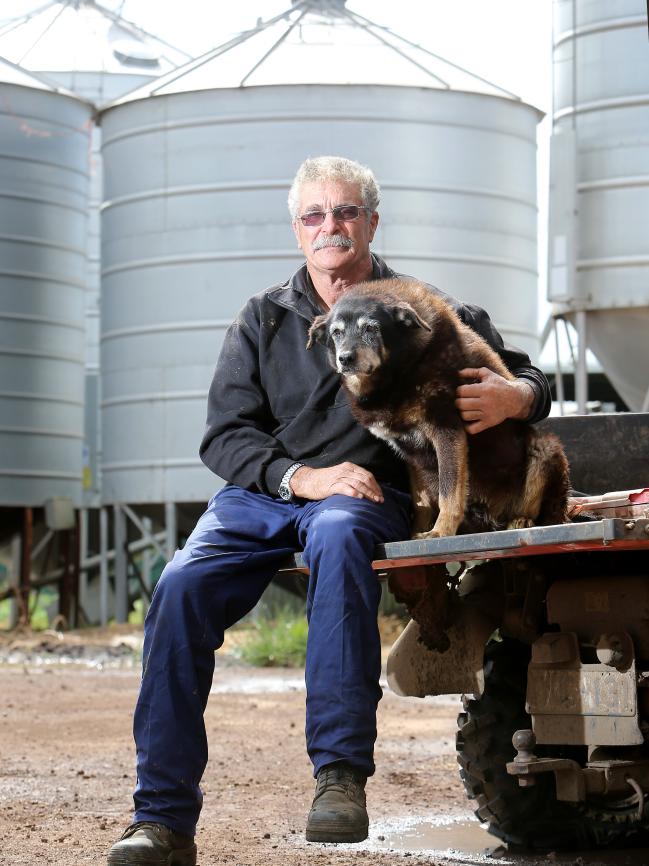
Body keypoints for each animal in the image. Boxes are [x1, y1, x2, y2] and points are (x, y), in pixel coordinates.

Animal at [308, 278, 568, 532]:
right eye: (337, 333)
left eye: (371, 328)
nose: (345, 358)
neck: (400, 370)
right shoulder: (411, 452)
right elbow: (421, 501)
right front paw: (415, 534)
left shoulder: (447, 432)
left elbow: (448, 493)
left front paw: (440, 532)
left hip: (545, 449)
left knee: (545, 511)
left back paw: (522, 519)